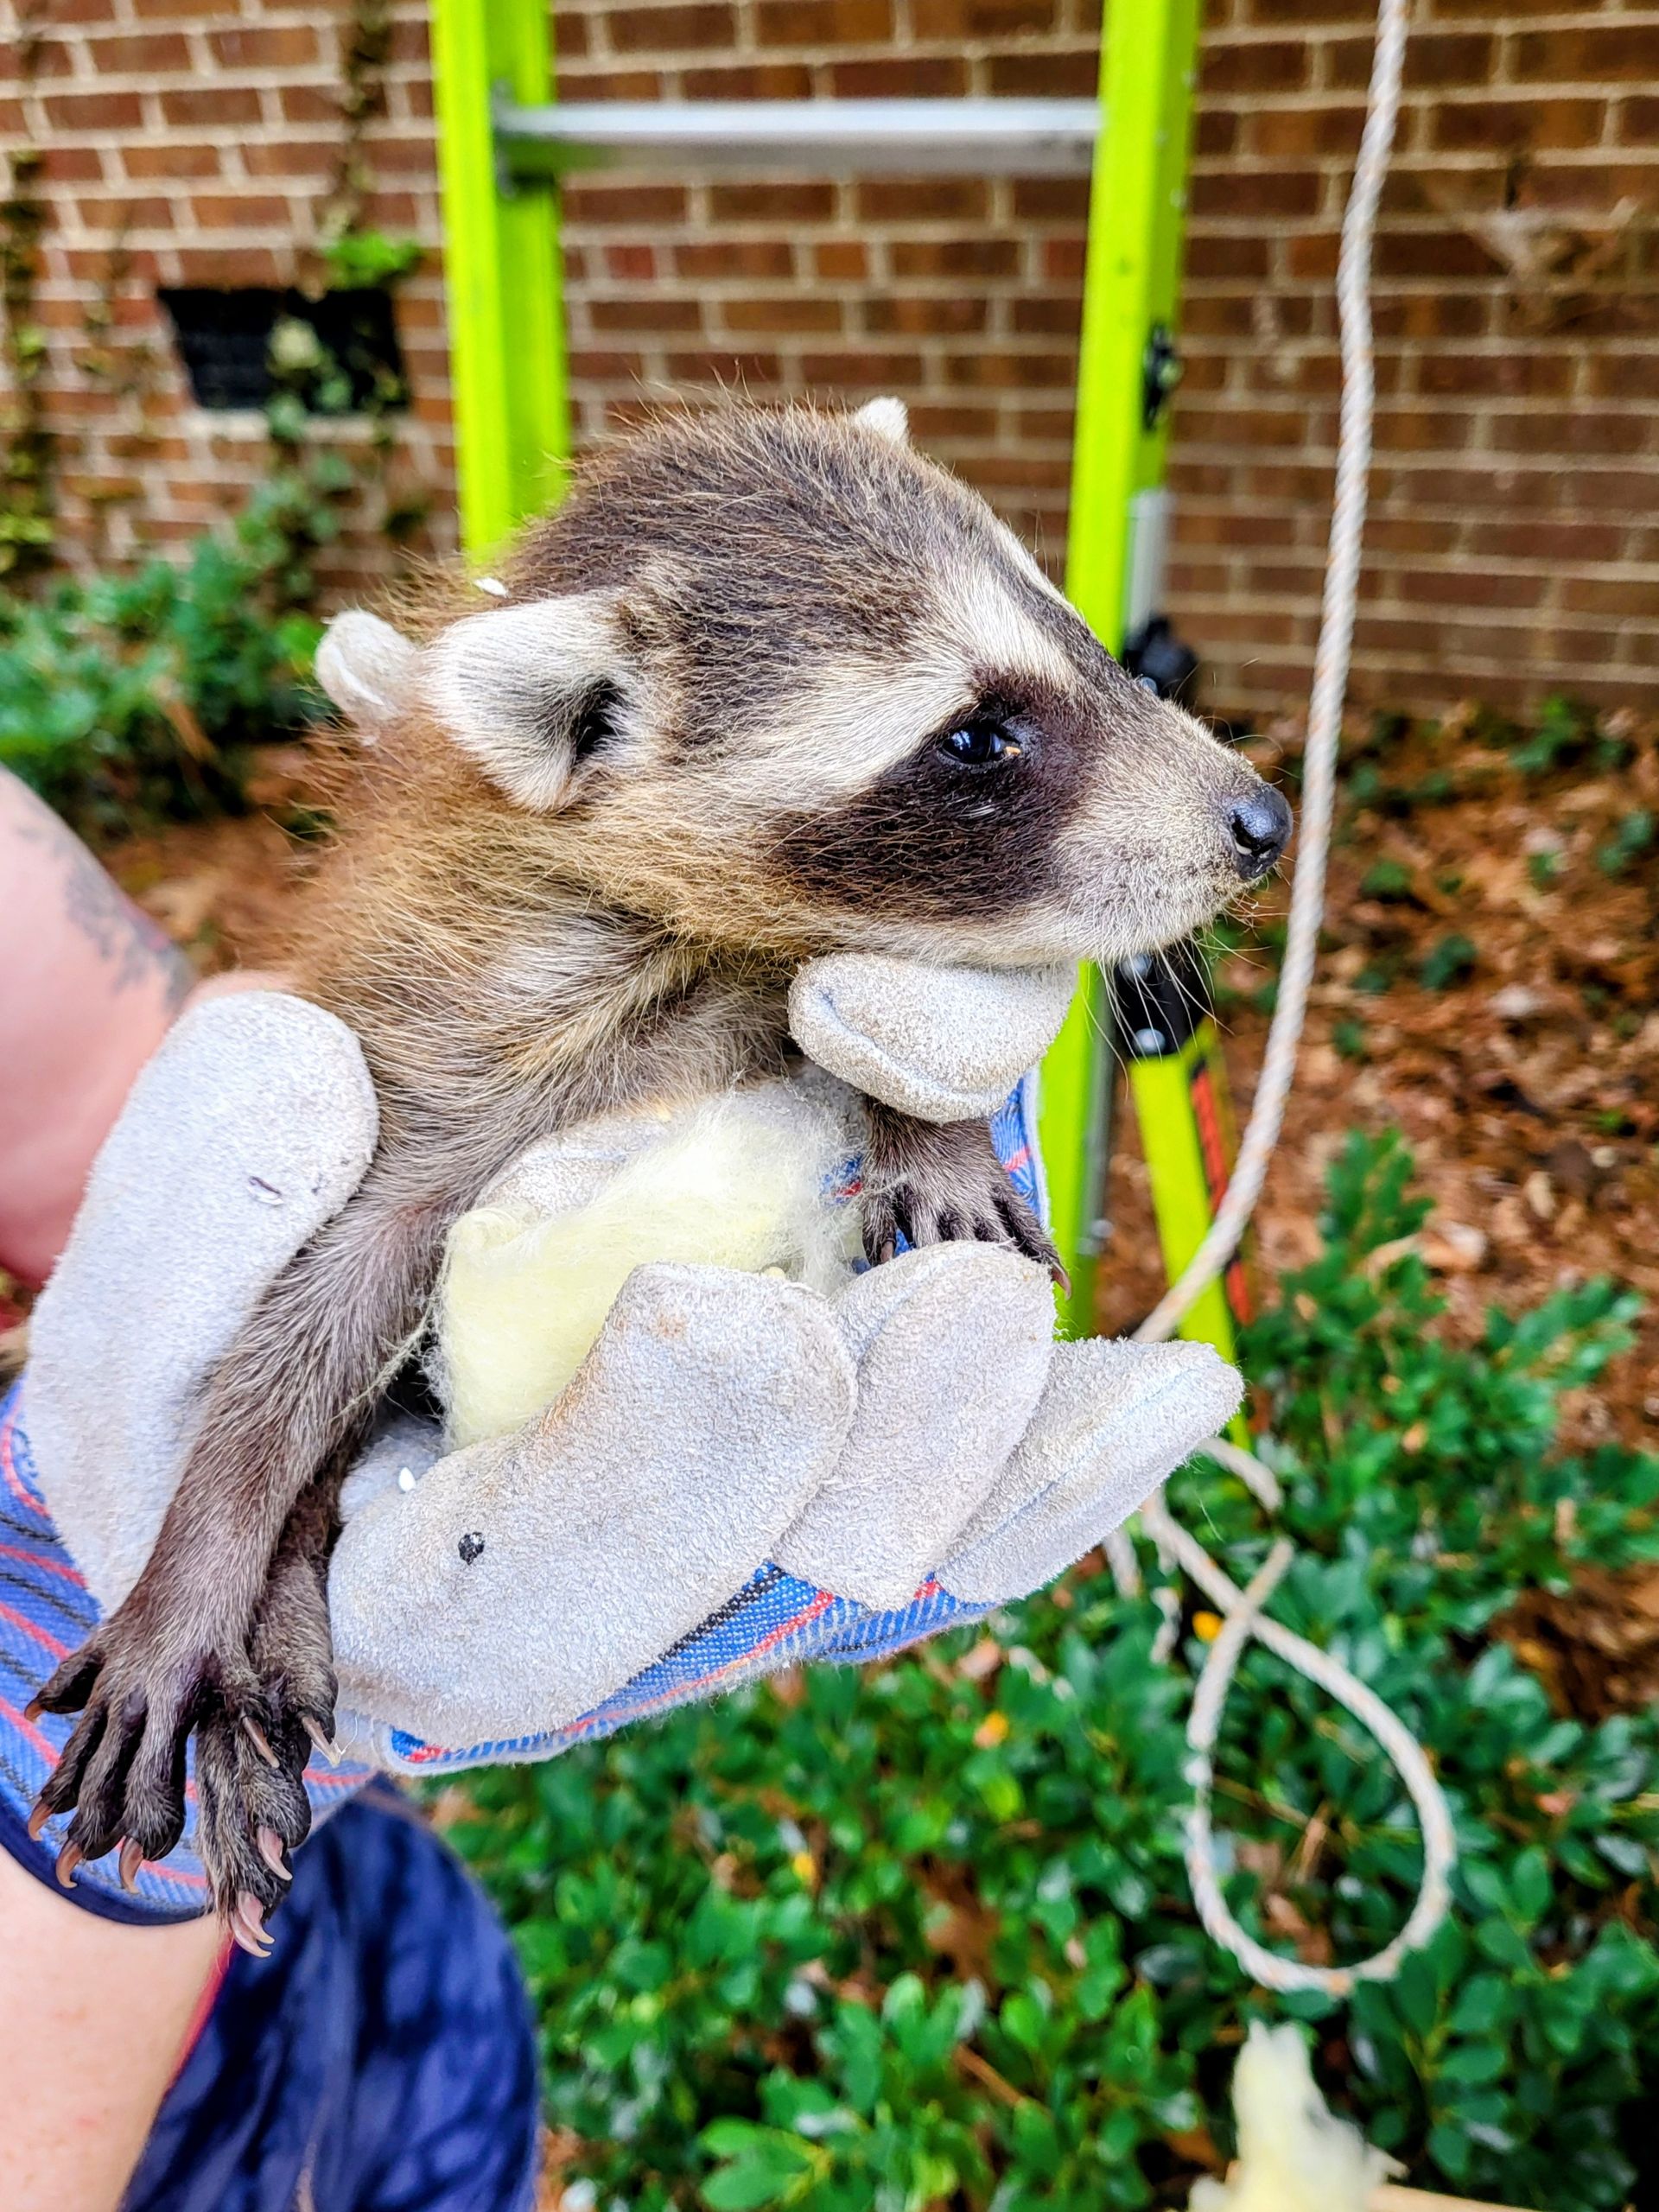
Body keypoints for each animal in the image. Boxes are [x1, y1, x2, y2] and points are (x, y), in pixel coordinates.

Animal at [30, 399, 1289, 1944]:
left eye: (1084, 638)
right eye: (977, 736)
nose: (1261, 822)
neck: (691, 936)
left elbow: (867, 1023)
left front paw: (922, 1123)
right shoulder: (447, 1038)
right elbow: (312, 1318)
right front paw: (202, 1564)